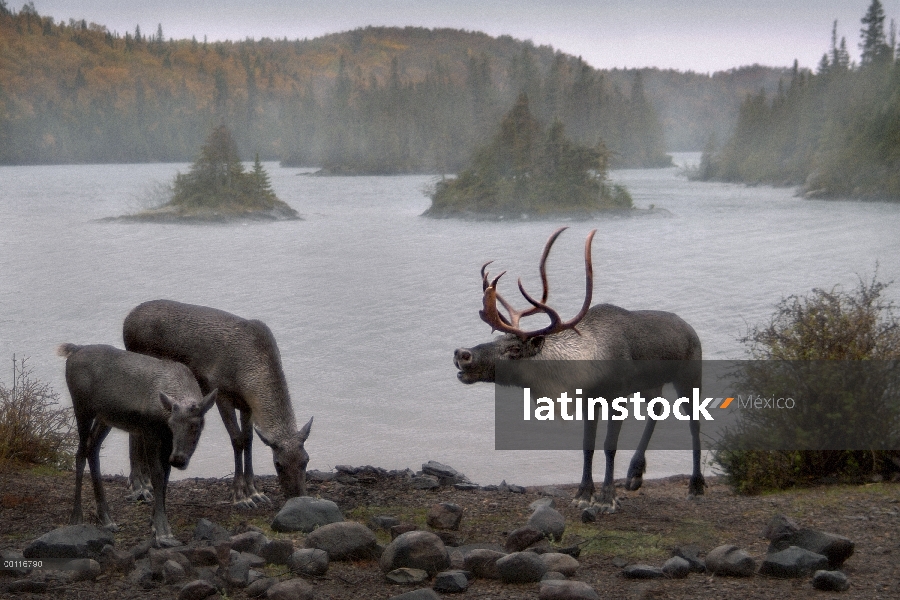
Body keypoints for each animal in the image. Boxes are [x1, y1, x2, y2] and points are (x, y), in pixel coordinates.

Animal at [59, 342, 217, 544]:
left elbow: (165, 477)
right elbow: (157, 475)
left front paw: (153, 523)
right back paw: (77, 516)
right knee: (80, 453)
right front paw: (162, 530)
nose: (179, 459)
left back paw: (106, 519)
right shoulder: (149, 431)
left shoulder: (166, 442)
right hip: (82, 407)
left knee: (92, 448)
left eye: (196, 426)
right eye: (172, 425)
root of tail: (73, 351)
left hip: (105, 417)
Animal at [123, 300, 312, 506]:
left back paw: (145, 483)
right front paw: (240, 495)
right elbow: (237, 440)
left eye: (306, 460)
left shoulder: (246, 405)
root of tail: (127, 321)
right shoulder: (222, 395)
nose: (300, 496)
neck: (246, 376)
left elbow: (248, 440)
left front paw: (254, 491)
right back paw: (139, 486)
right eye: (278, 464)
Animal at [454, 227, 708, 508]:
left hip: (689, 376)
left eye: (515, 350)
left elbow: (609, 445)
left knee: (694, 423)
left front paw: (607, 497)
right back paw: (634, 474)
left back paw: (696, 485)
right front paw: (583, 494)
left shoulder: (617, 396)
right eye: (498, 338)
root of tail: (690, 328)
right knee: (657, 410)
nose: (463, 354)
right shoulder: (589, 398)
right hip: (651, 384)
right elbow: (588, 445)